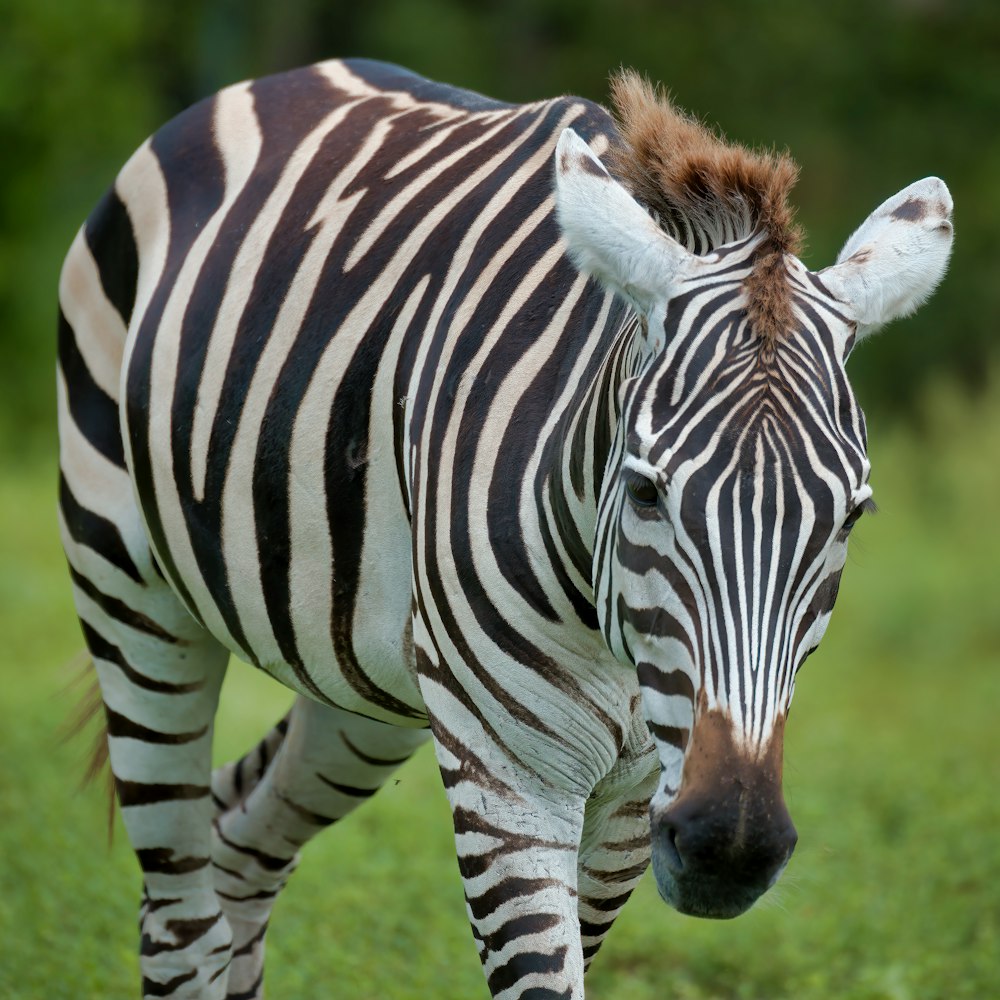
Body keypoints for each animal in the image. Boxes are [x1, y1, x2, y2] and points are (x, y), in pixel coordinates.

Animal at [60, 58, 952, 996]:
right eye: (645, 492)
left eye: (851, 516)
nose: (728, 849)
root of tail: (282, 79)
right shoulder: (514, 779)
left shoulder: (633, 799)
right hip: (131, 595)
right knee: (181, 919)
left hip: (365, 677)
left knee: (238, 843)